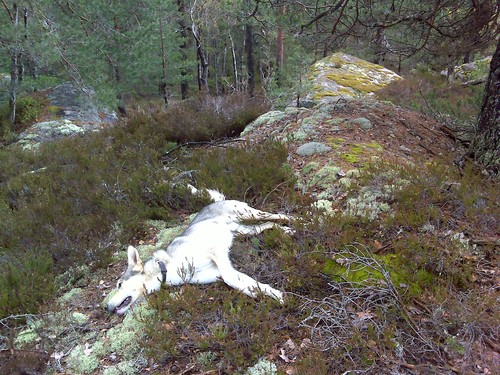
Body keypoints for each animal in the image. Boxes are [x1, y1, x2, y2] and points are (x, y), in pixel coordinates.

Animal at [106, 187, 292, 316]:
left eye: (119, 284)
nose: (106, 307)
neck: (166, 269)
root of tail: (215, 202)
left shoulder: (215, 251)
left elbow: (231, 278)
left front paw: (271, 295)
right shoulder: (216, 272)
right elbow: (243, 282)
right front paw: (270, 294)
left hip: (248, 214)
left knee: (278, 215)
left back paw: (297, 219)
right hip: (246, 230)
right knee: (269, 224)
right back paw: (288, 231)